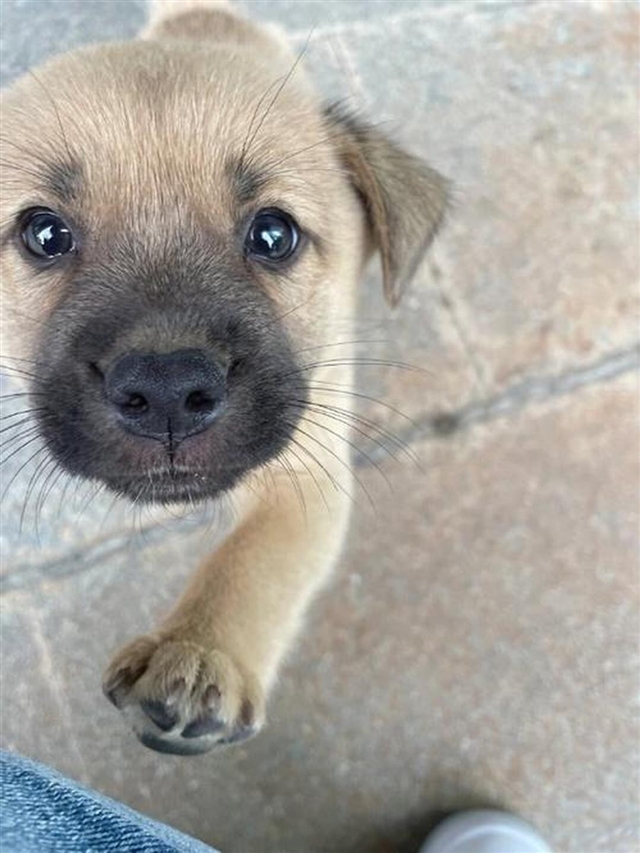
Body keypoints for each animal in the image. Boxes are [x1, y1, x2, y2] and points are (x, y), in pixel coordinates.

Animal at [0, 0, 448, 755]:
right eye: (44, 234)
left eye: (273, 235)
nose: (167, 393)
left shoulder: (306, 469)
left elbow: (252, 561)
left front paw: (200, 655)